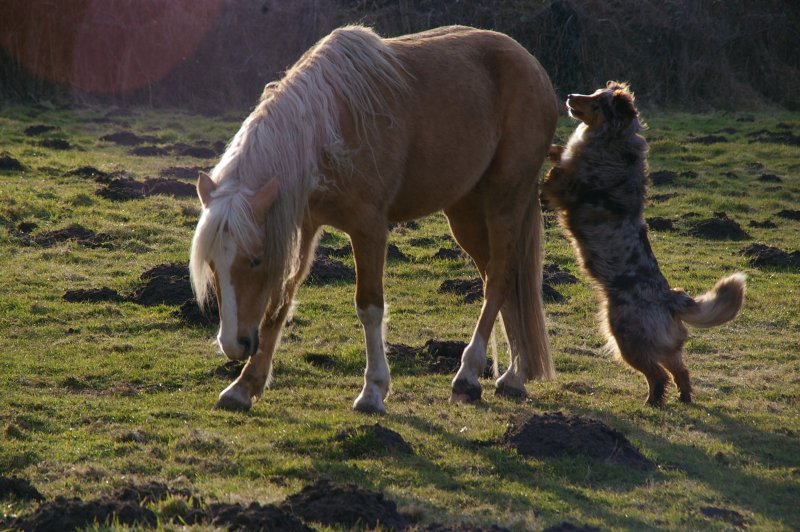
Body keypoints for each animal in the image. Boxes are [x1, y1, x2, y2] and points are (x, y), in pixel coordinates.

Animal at [191, 25, 560, 414]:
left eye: (255, 260)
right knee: (500, 280)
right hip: (465, 212)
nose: (233, 345)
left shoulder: (368, 229)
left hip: (506, 197)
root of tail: (532, 66)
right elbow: (281, 298)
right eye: (213, 265)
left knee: (501, 279)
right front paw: (243, 386)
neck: (327, 129)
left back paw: (470, 376)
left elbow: (369, 307)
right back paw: (515, 375)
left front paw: (372, 391)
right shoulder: (304, 226)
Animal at [540, 81, 748, 406]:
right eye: (593, 93)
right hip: (663, 345)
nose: (571, 96)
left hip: (626, 336)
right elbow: (561, 153)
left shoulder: (564, 189)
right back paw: (684, 397)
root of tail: (669, 298)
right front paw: (553, 148)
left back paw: (652, 401)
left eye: (597, 101)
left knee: (658, 375)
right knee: (680, 369)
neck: (613, 140)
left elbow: (558, 174)